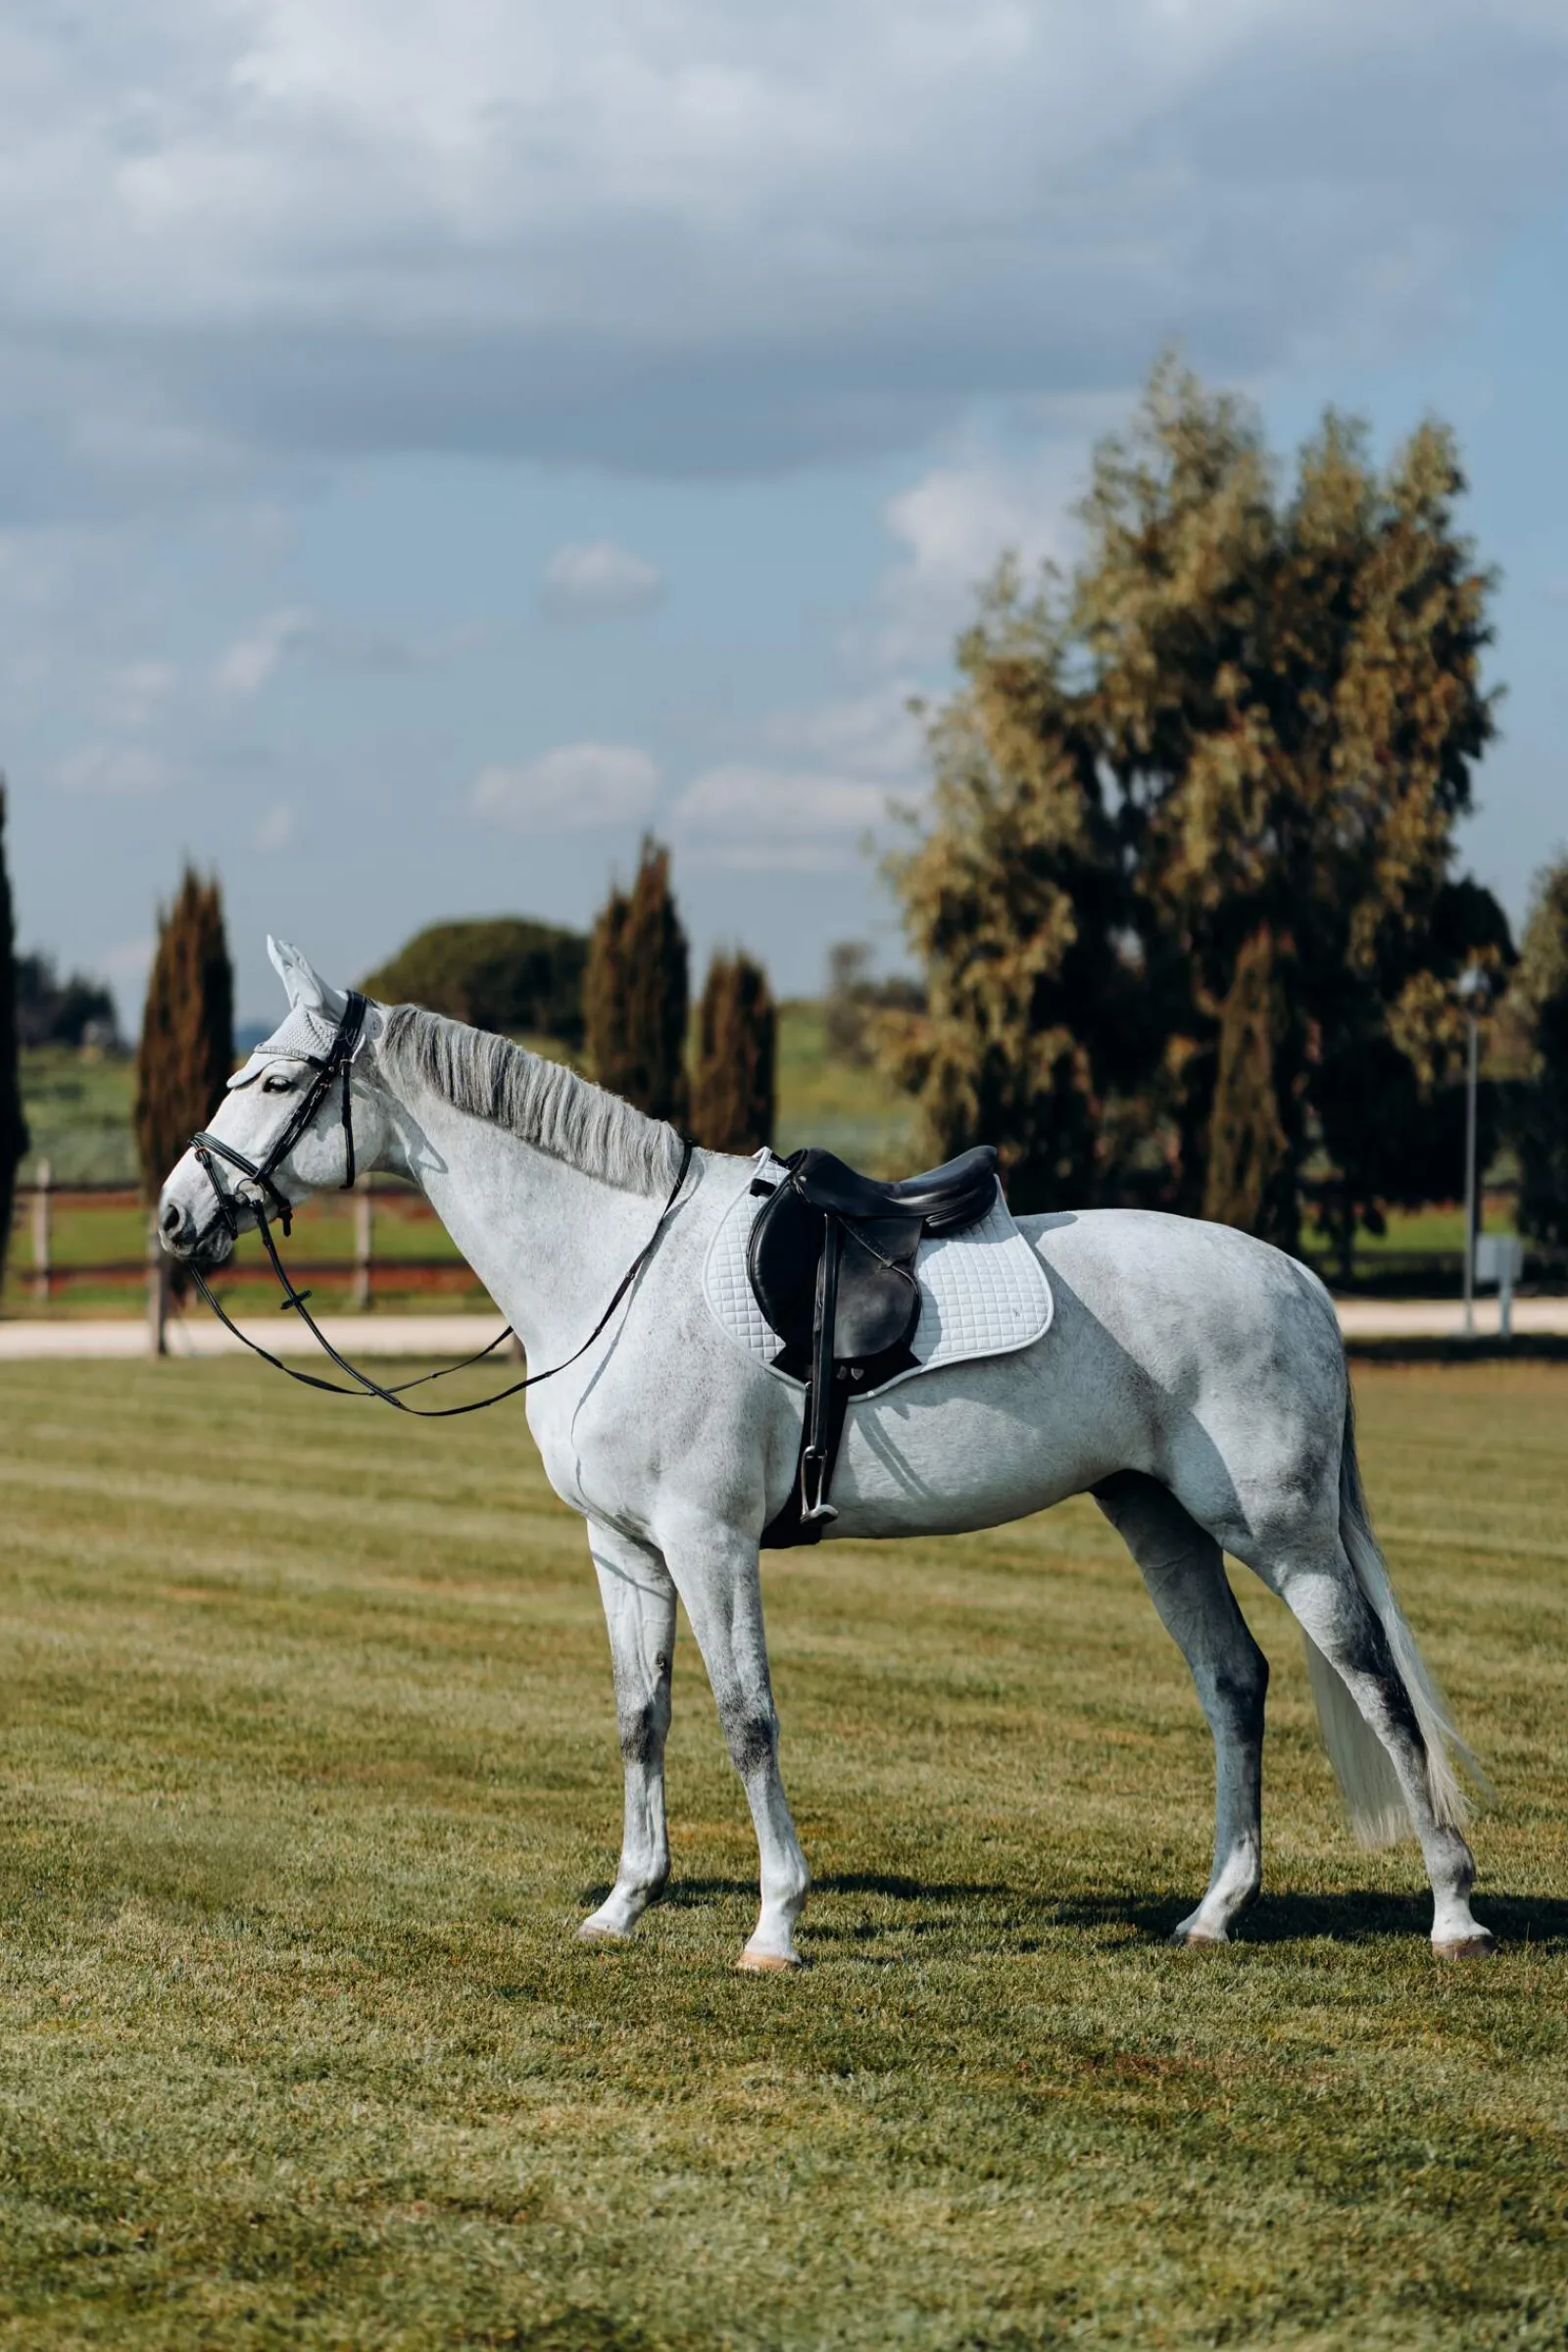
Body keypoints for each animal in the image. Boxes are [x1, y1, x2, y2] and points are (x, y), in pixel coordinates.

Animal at [155, 939, 1495, 1970]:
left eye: (278, 1077)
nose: (175, 1214)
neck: (616, 1268)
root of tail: (1298, 1282)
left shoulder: (708, 1543)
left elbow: (746, 1719)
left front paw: (774, 1926)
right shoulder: (623, 1549)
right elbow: (640, 1717)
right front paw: (622, 1906)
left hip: (1281, 1533)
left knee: (1375, 1686)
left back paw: (1452, 1912)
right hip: (1156, 1518)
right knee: (1234, 1683)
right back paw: (1216, 1913)